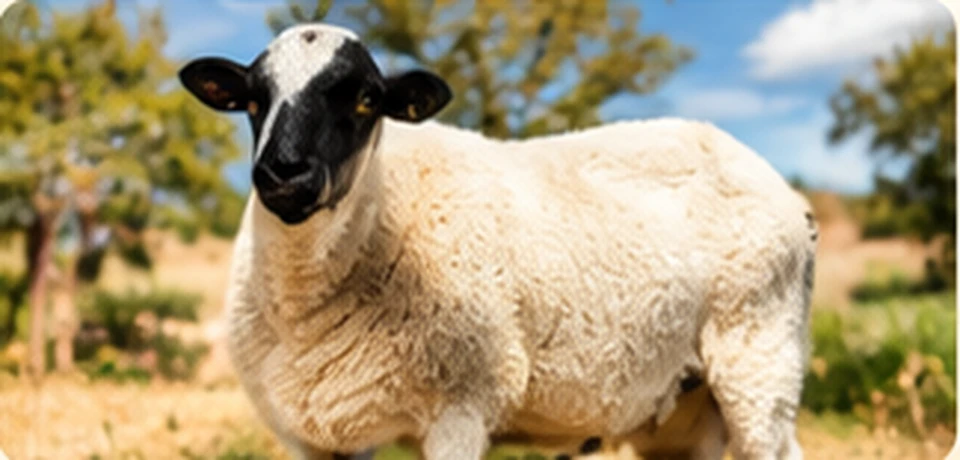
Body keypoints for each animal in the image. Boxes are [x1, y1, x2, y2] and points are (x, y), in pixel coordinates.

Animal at [179, 23, 817, 460]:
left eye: (366, 100)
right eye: (253, 101)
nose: (283, 174)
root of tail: (784, 190)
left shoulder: (461, 408)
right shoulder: (320, 435)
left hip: (761, 360)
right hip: (687, 408)